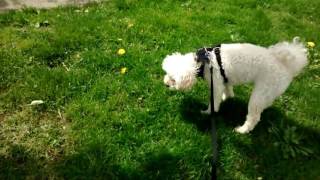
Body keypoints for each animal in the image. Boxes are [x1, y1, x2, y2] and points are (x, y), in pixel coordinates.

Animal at [162, 37, 308, 134]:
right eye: (167, 74)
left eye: (173, 80)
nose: (166, 84)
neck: (203, 61)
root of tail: (286, 66)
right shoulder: (224, 79)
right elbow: (228, 90)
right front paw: (228, 97)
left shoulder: (215, 85)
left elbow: (214, 102)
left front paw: (207, 112)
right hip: (268, 93)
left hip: (260, 93)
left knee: (254, 117)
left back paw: (242, 130)